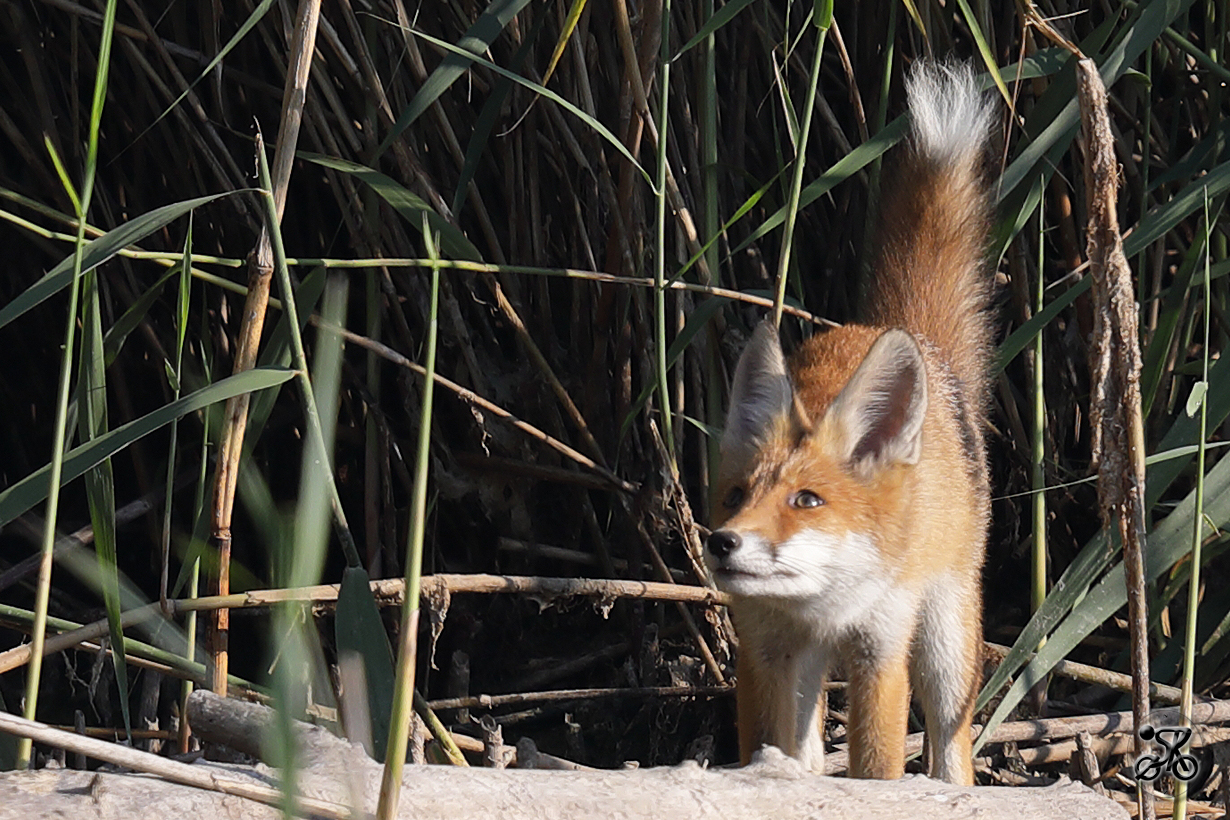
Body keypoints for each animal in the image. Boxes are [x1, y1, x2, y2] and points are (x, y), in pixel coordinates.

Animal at [708, 60, 993, 786]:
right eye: (735, 496)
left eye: (807, 501)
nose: (723, 543)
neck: (822, 611)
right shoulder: (764, 647)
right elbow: (768, 750)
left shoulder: (880, 645)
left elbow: (877, 768)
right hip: (807, 669)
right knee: (808, 749)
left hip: (945, 642)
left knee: (952, 746)